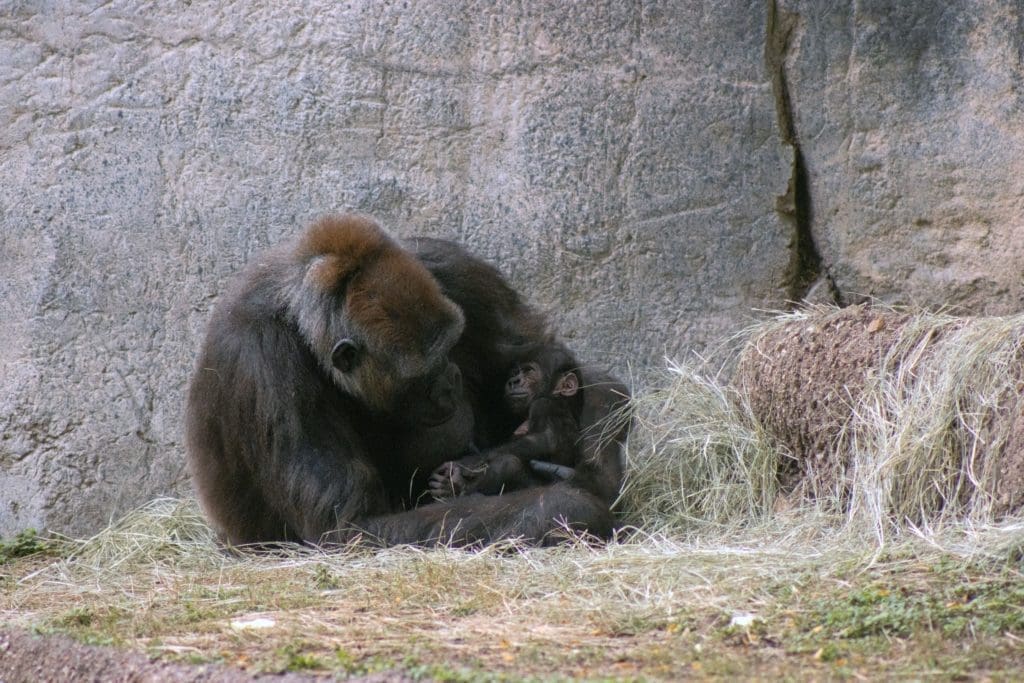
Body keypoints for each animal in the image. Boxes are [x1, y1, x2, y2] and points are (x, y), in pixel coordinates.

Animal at [185, 214, 625, 548]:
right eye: (426, 371)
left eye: (451, 345)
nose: (451, 379)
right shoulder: (263, 361)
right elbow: (351, 527)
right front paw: (563, 506)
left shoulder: (449, 264)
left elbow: (541, 355)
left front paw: (594, 457)